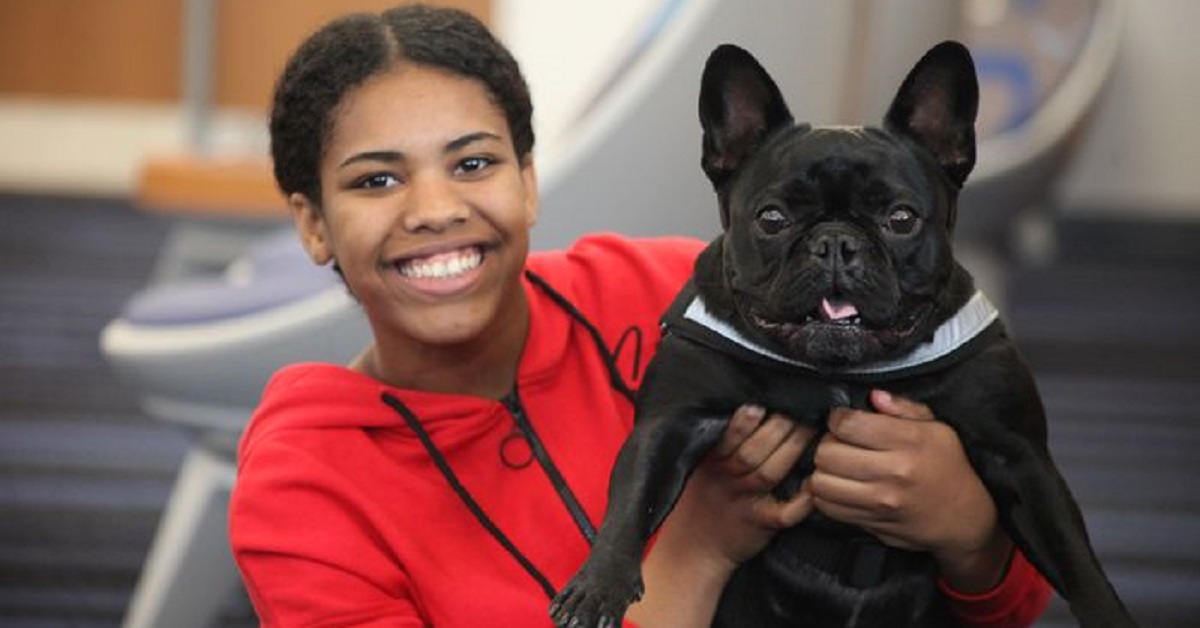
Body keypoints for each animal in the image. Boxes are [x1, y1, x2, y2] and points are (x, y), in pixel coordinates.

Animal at [552, 41, 1132, 624]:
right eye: (771, 218)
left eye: (901, 219)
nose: (834, 242)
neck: (841, 375)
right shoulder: (672, 420)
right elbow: (635, 497)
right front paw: (598, 586)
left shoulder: (1020, 454)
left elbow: (1072, 553)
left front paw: (1108, 612)